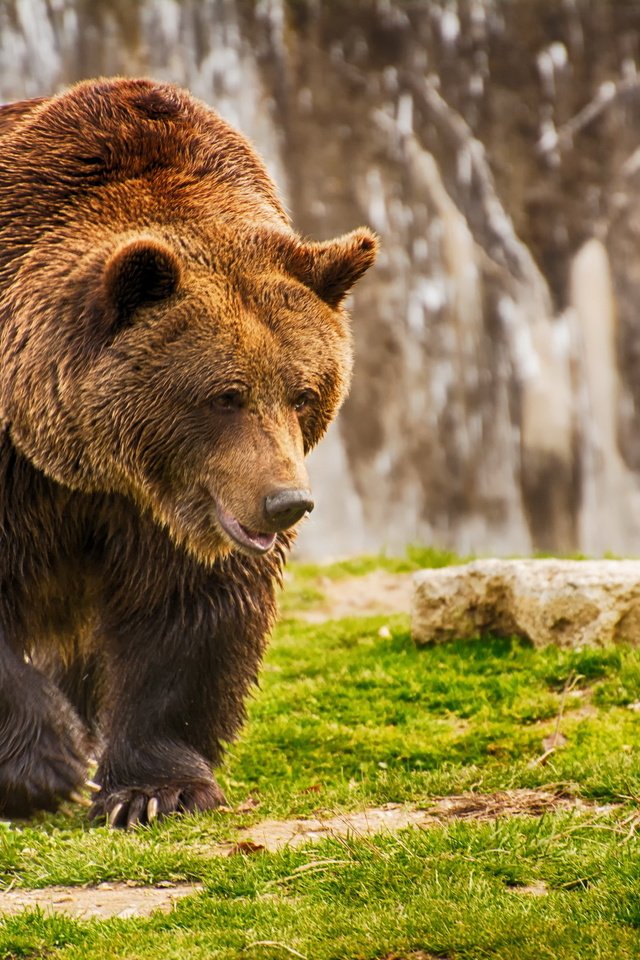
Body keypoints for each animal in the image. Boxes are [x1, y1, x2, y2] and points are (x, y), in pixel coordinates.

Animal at [0, 77, 378, 824]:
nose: (287, 503)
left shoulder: (175, 511)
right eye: (226, 394)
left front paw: (153, 791)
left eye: (303, 392)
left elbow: (189, 613)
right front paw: (46, 765)